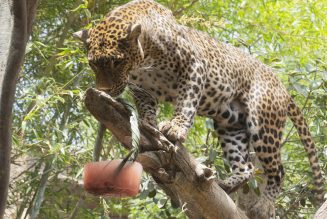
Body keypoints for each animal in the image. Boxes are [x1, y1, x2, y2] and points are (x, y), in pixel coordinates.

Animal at [73, 0, 326, 216]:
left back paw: (265, 205)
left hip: (263, 124)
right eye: (92, 63)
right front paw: (148, 124)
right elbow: (146, 108)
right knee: (245, 166)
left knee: (278, 170)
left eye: (116, 61)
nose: (104, 89)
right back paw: (225, 184)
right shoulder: (142, 89)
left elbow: (186, 102)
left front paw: (175, 128)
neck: (145, 54)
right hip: (230, 125)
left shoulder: (194, 67)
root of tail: (282, 86)